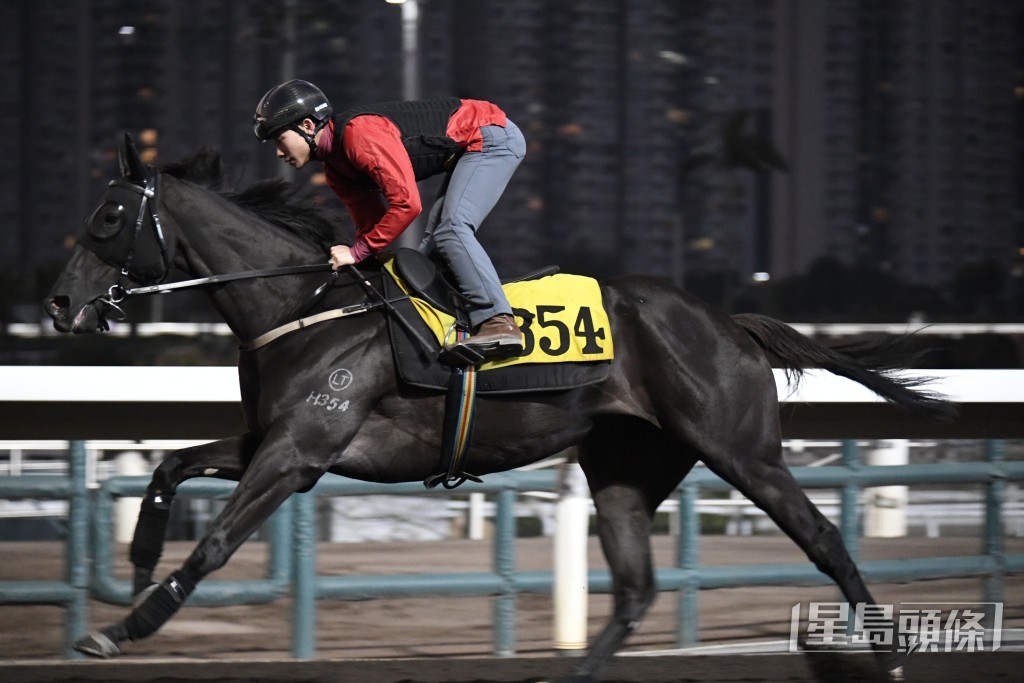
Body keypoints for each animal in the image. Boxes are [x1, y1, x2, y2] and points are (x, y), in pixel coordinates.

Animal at [44, 141, 946, 679]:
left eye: (109, 215)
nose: (58, 304)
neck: (304, 304)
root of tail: (729, 320)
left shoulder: (300, 449)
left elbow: (218, 541)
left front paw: (125, 625)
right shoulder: (273, 436)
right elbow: (169, 465)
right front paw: (134, 562)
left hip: (741, 448)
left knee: (824, 536)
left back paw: (891, 650)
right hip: (625, 466)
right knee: (635, 586)